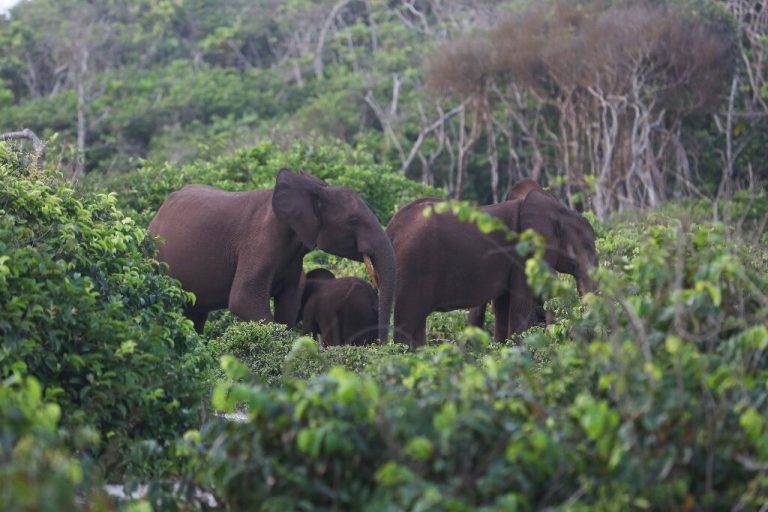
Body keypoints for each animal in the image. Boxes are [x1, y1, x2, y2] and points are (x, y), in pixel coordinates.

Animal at [148, 168, 396, 340]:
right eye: (353, 220)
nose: (382, 346)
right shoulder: (259, 241)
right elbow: (243, 299)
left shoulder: (293, 255)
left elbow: (289, 303)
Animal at [388, 188, 596, 348]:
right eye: (587, 248)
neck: (557, 210)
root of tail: (392, 228)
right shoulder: (522, 255)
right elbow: (519, 305)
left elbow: (503, 306)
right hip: (413, 264)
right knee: (406, 322)